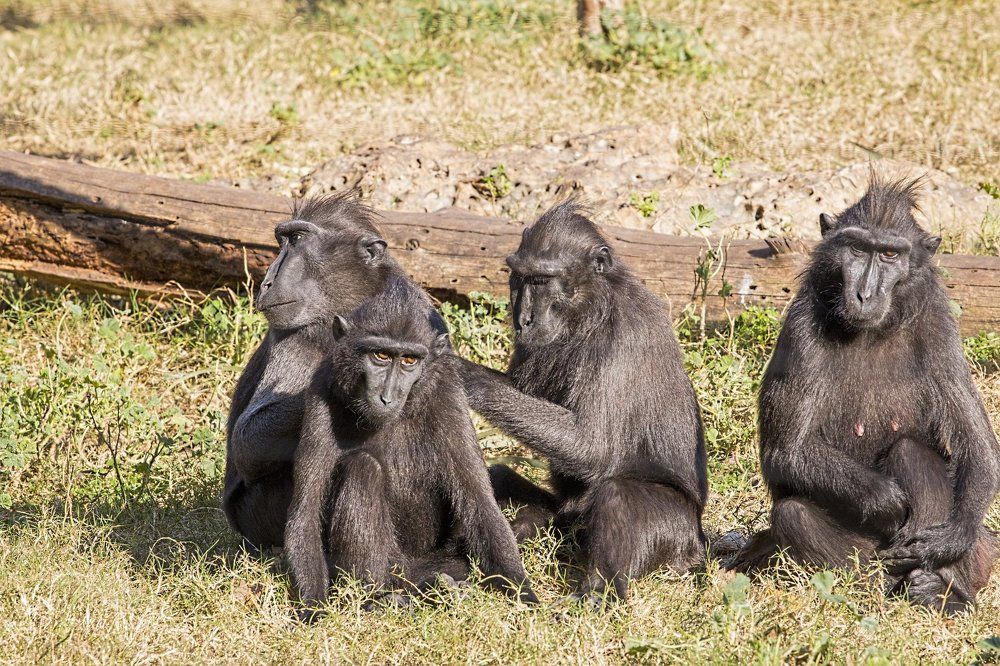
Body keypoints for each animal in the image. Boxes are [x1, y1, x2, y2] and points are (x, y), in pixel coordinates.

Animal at [223, 192, 440, 550]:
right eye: (283, 240)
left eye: (297, 240)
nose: (267, 282)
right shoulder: (295, 334)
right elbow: (246, 444)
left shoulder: (426, 318)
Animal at [284, 279, 537, 619]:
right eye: (380, 355)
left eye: (408, 361)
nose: (387, 397)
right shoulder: (321, 392)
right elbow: (306, 512)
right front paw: (313, 611)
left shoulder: (448, 392)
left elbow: (479, 501)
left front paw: (526, 598)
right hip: (396, 565)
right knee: (363, 467)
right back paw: (382, 597)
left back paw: (444, 587)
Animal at [457, 201, 708, 603]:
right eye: (519, 277)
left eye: (542, 280)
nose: (523, 319)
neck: (590, 310)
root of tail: (698, 546)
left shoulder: (623, 340)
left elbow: (592, 447)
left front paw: (456, 369)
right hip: (564, 516)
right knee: (505, 482)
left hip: (677, 534)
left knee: (617, 495)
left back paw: (598, 593)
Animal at [730, 176, 999, 614]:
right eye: (857, 248)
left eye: (890, 254)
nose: (864, 295)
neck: (873, 331)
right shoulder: (801, 328)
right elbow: (785, 452)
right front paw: (887, 501)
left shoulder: (939, 325)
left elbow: (979, 448)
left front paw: (950, 540)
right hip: (864, 556)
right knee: (793, 515)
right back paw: (867, 589)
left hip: (972, 555)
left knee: (910, 451)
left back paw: (939, 591)